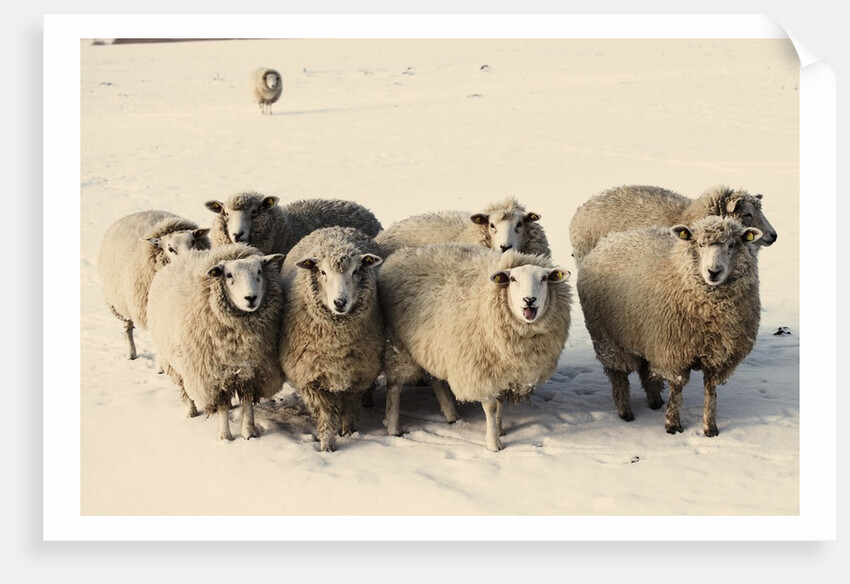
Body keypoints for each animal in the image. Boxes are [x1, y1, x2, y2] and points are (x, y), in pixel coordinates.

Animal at [97, 210, 211, 360]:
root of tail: (141, 212)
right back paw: (131, 354)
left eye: (193, 242)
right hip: (119, 303)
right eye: (170, 248)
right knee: (127, 328)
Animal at [146, 243, 286, 440]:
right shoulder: (213, 376)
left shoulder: (251, 371)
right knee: (184, 389)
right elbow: (222, 407)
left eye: (259, 271)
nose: (251, 298)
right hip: (177, 362)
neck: (239, 339)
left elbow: (247, 402)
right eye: (229, 275)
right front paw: (225, 436)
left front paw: (249, 431)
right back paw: (190, 411)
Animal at [278, 227, 384, 452]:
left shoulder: (357, 375)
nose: (340, 302)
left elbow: (350, 406)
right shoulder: (311, 378)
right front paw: (327, 445)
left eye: (355, 271)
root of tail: (337, 228)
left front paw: (348, 431)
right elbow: (326, 412)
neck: (336, 343)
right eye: (323, 272)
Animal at [378, 244, 572, 451]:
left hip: (433, 345)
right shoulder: (481, 369)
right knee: (395, 385)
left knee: (435, 378)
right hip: (397, 343)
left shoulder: (502, 369)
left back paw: (451, 414)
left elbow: (500, 402)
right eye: (513, 279)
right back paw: (393, 427)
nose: (529, 300)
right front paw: (493, 444)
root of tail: (400, 253)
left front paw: (500, 429)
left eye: (544, 279)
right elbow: (491, 407)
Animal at [576, 215, 763, 436]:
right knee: (618, 375)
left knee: (646, 370)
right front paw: (672, 424)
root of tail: (611, 237)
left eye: (732, 245)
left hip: (643, 334)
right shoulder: (673, 350)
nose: (714, 272)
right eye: (700, 244)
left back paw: (655, 401)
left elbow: (710, 390)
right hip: (607, 337)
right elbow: (677, 388)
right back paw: (625, 411)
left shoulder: (718, 356)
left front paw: (710, 427)